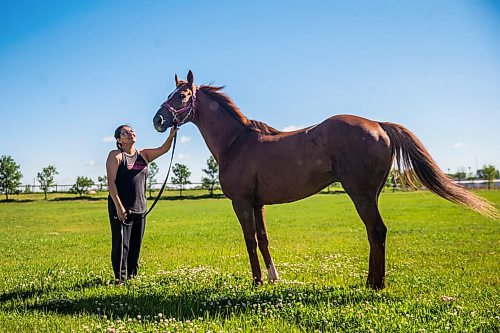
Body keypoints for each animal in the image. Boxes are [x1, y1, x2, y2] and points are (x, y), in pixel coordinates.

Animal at [152, 70, 496, 288]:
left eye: (182, 95)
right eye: (170, 93)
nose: (158, 120)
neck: (238, 142)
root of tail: (378, 124)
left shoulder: (241, 203)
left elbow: (249, 241)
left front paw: (256, 281)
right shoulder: (258, 204)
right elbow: (263, 239)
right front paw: (273, 278)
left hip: (361, 193)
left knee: (377, 231)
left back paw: (375, 284)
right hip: (370, 194)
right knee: (375, 233)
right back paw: (372, 280)